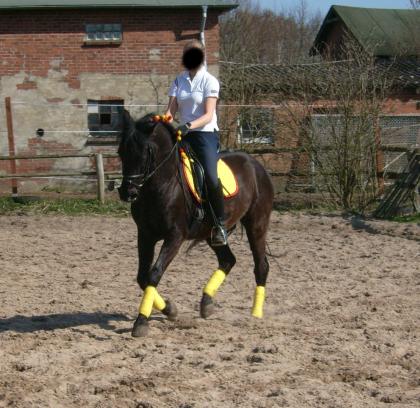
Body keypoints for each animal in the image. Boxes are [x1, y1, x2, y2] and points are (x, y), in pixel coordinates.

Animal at [117, 112, 276, 338]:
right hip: (211, 233)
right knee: (228, 260)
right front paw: (170, 309)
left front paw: (141, 322)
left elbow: (154, 273)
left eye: (147, 151)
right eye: (121, 151)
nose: (127, 192)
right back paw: (207, 303)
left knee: (261, 265)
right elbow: (143, 277)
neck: (162, 184)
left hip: (257, 224)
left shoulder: (175, 236)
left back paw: (255, 314)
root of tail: (256, 165)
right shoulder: (145, 235)